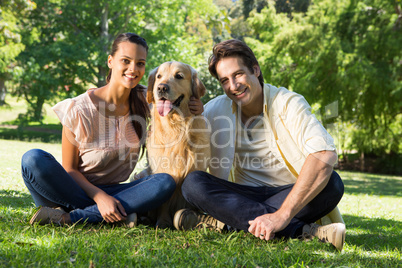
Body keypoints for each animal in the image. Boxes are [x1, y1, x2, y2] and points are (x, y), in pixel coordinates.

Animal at [146, 61, 212, 228]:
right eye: (159, 76)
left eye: (179, 76)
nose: (161, 88)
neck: (176, 127)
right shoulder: (164, 169)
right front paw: (163, 221)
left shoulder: (195, 167)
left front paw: (192, 217)